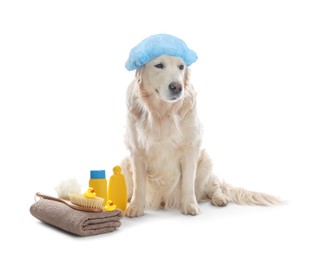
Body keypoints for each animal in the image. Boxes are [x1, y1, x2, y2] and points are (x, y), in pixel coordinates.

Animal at [119, 54, 280, 217]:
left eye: (181, 67)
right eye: (159, 65)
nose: (177, 87)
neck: (162, 113)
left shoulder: (191, 147)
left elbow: (188, 182)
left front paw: (190, 205)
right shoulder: (136, 150)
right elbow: (139, 184)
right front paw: (135, 206)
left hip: (205, 163)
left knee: (214, 186)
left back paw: (220, 198)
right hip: (125, 164)